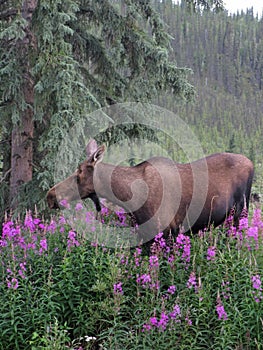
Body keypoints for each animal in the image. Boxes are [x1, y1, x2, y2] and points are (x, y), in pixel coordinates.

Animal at [48, 138, 256, 245]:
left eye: (79, 173)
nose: (50, 196)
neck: (129, 197)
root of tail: (251, 163)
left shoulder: (167, 231)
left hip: (239, 214)